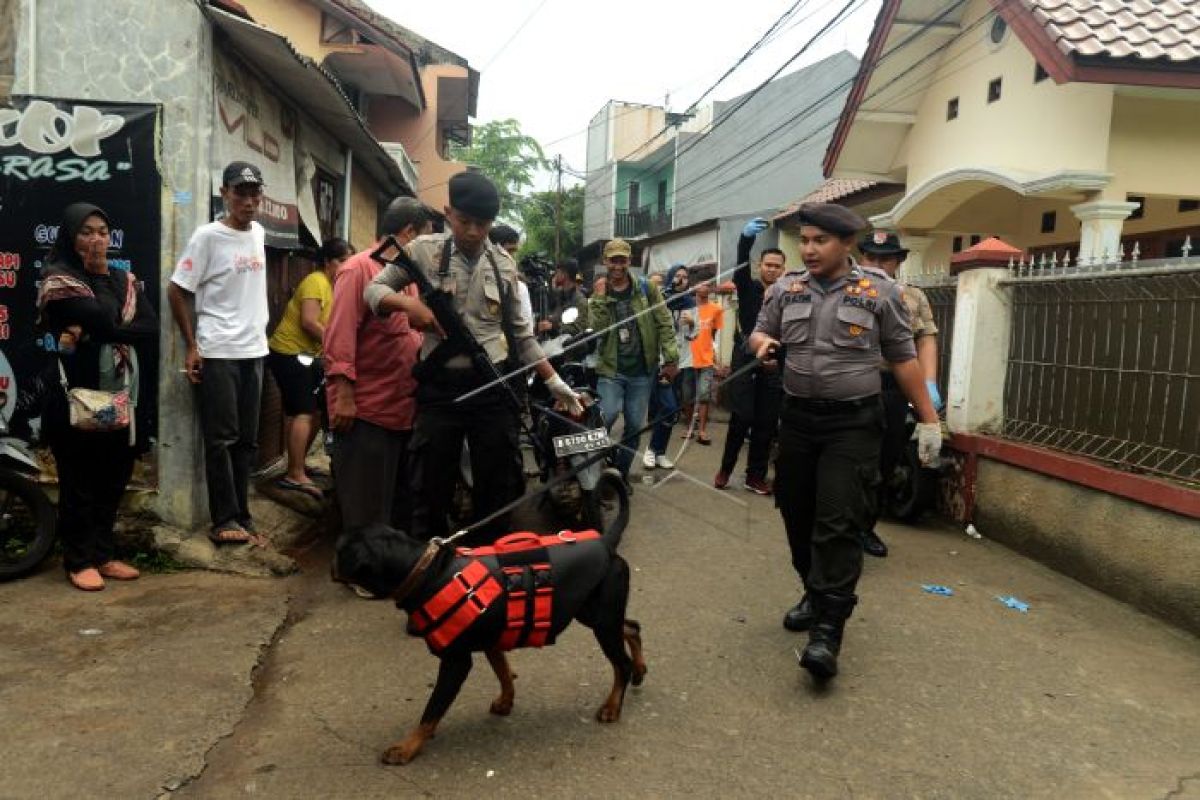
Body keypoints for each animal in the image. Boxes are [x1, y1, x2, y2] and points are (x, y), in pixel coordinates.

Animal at [328, 522, 648, 767]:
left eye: (339, 550)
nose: (330, 567)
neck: (426, 571)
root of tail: (606, 543)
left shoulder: (456, 661)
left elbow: (431, 710)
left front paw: (407, 747)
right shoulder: (494, 639)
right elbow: (503, 672)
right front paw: (506, 701)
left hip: (601, 620)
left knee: (620, 663)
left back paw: (613, 705)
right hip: (594, 614)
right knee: (632, 627)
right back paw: (641, 670)